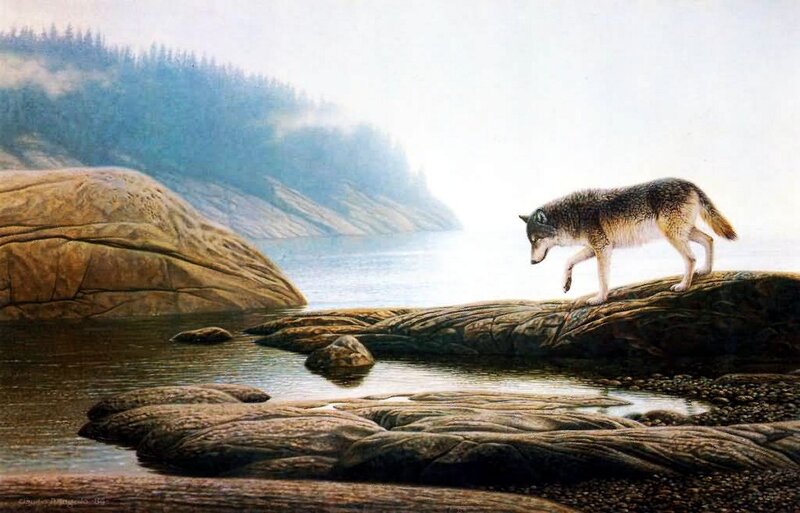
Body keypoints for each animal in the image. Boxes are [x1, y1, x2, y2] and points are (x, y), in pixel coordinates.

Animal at [519, 178, 737, 305]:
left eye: (536, 240)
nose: (531, 262)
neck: (573, 216)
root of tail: (690, 184)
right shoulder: (592, 248)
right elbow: (569, 261)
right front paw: (566, 284)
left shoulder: (603, 248)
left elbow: (602, 277)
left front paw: (599, 299)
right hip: (684, 232)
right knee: (709, 239)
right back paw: (706, 270)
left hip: (674, 235)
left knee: (691, 258)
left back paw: (683, 286)